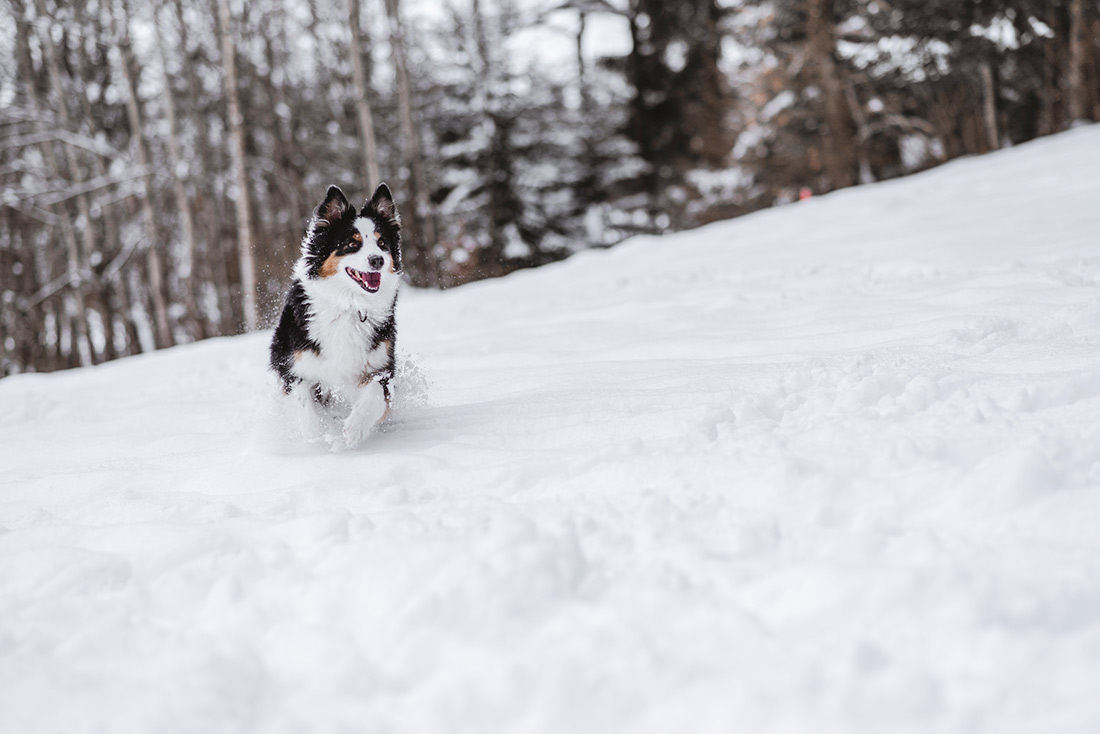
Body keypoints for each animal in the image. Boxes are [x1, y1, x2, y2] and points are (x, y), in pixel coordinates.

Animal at [269, 187, 400, 444]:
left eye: (382, 243)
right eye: (351, 244)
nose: (377, 260)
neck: (349, 305)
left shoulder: (381, 365)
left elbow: (375, 393)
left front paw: (355, 428)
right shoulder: (290, 364)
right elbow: (304, 405)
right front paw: (317, 435)